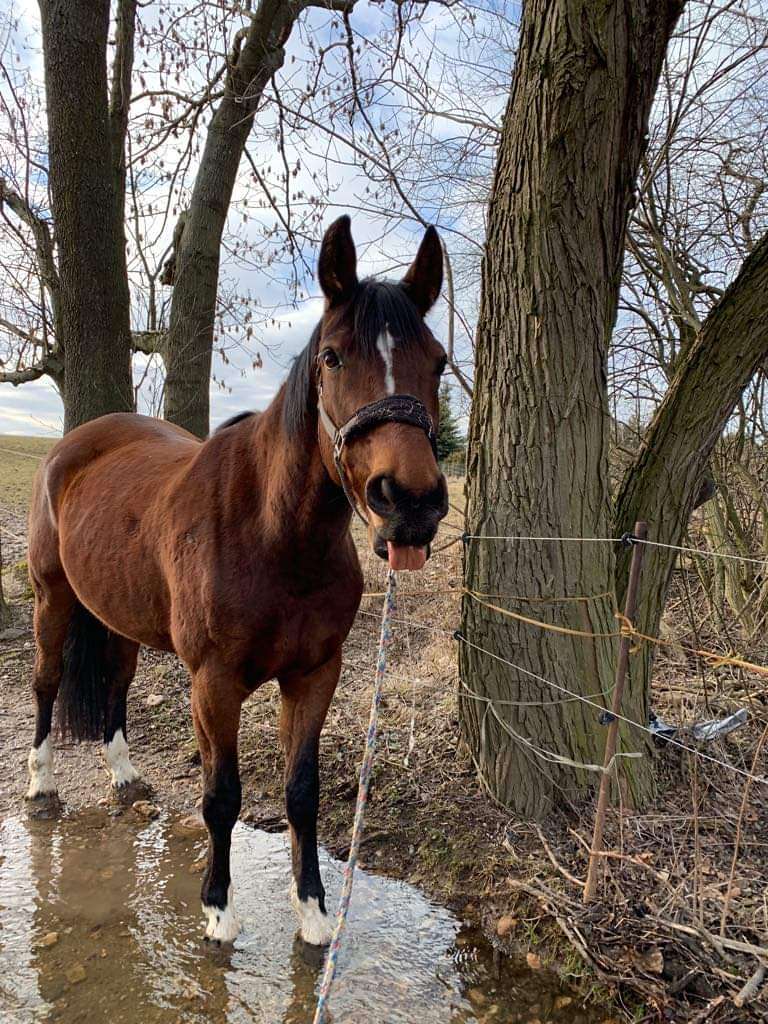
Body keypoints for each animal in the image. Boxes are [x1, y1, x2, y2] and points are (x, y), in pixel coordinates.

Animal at [25, 216, 450, 942]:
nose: (411, 503)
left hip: (119, 615)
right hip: (51, 599)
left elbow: (301, 794)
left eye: (441, 361)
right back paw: (41, 786)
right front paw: (218, 909)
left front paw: (313, 911)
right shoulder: (214, 684)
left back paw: (124, 775)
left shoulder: (315, 675)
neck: (275, 540)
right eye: (332, 357)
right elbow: (222, 797)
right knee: (48, 683)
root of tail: (73, 446)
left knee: (115, 684)